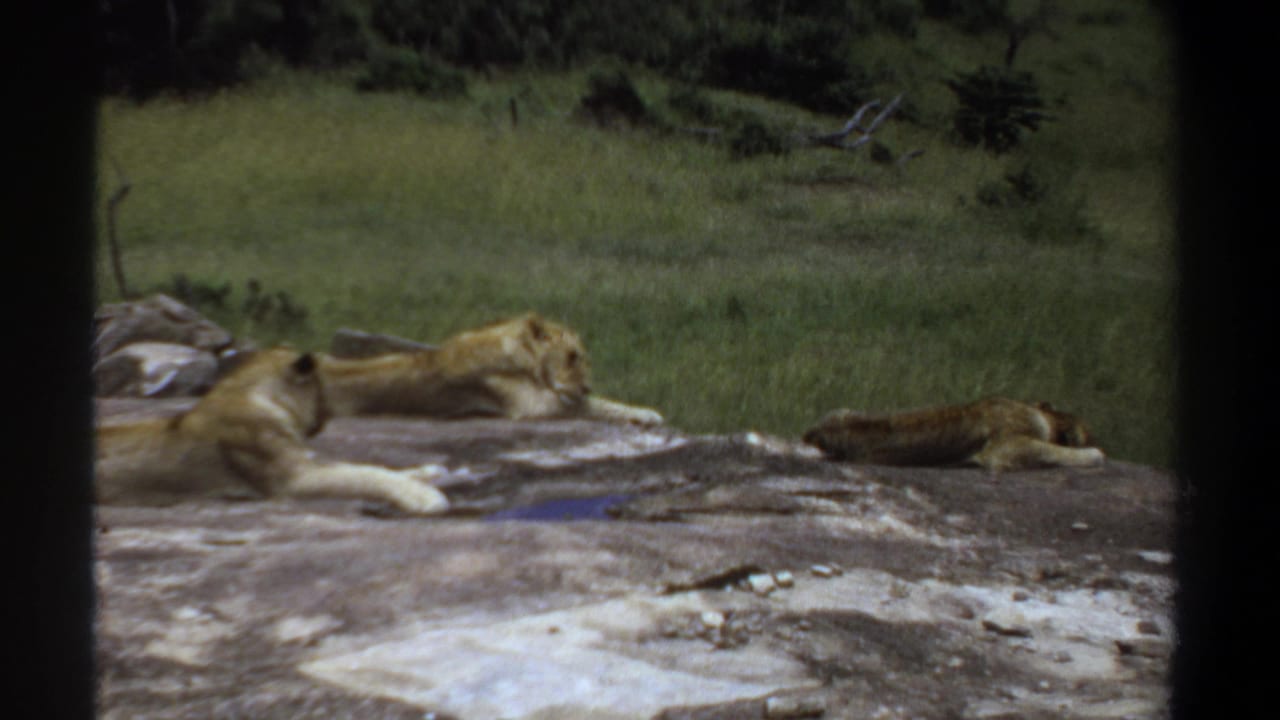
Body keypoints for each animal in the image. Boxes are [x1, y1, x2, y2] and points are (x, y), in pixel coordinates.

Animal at [95, 348, 449, 514]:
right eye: (323, 383)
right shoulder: (295, 479)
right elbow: (365, 474)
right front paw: (425, 497)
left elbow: (370, 466)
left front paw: (429, 472)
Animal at [316, 312, 664, 425]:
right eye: (571, 357)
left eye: (582, 359)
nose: (586, 385)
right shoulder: (530, 406)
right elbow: (597, 405)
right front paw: (648, 415)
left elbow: (597, 403)